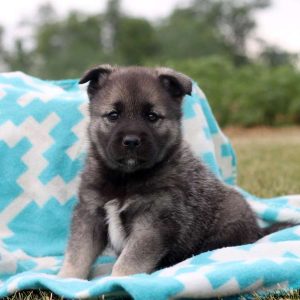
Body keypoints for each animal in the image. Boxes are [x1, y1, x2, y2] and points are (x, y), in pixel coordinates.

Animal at [58, 65, 278, 278]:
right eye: (113, 115)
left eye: (152, 116)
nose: (131, 141)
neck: (126, 178)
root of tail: (258, 230)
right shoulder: (89, 215)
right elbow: (78, 254)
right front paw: (67, 278)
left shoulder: (152, 224)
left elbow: (128, 262)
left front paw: (117, 281)